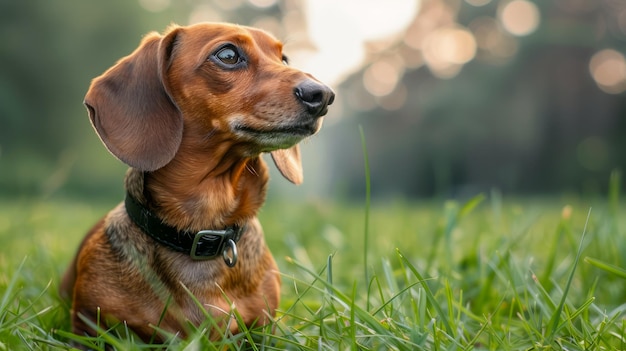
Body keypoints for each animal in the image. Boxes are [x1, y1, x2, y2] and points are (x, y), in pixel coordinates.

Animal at [60, 22, 334, 346]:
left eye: (284, 58)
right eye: (227, 54)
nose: (323, 95)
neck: (202, 227)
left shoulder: (263, 330)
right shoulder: (87, 327)